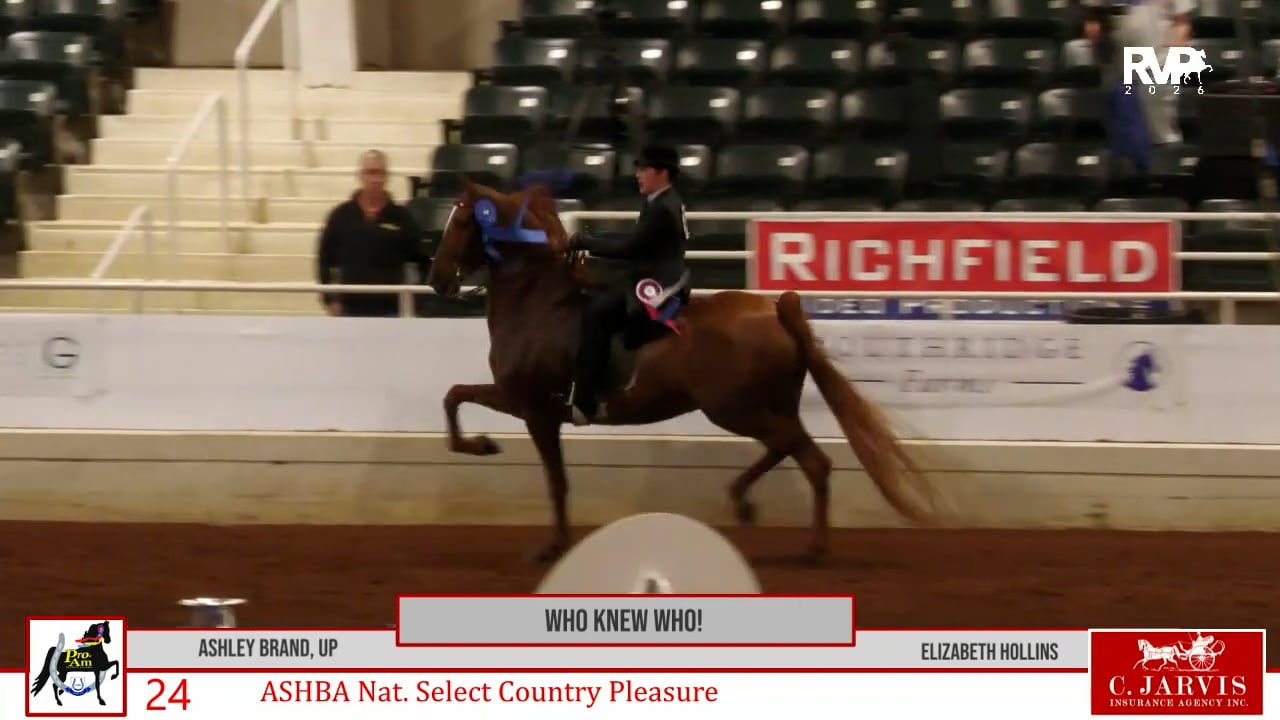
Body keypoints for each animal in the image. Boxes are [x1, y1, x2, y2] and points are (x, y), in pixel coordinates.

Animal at [426, 177, 938, 562]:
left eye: (463, 219)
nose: (437, 279)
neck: (538, 304)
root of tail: (774, 312)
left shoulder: (533, 408)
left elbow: (554, 479)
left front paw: (551, 545)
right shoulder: (523, 403)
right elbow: (454, 394)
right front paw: (482, 445)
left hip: (734, 409)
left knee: (811, 459)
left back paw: (810, 546)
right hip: (766, 406)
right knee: (789, 449)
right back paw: (744, 501)